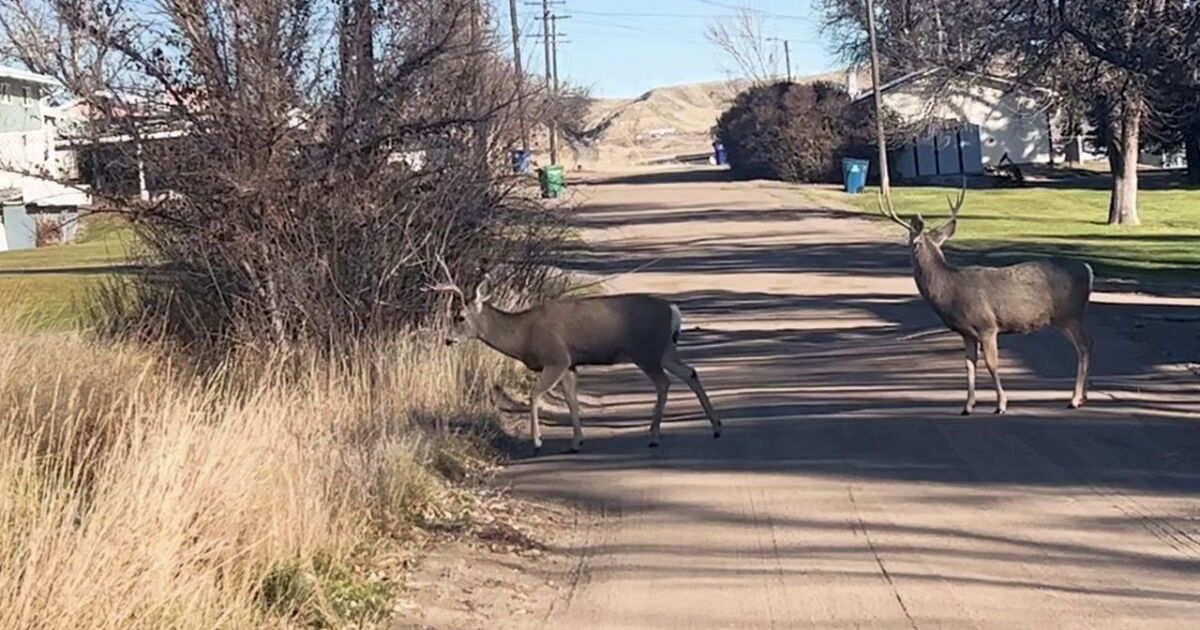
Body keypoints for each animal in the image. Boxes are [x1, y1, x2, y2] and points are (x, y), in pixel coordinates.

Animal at [428, 263, 722, 454]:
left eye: (460, 317)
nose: (448, 340)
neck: (524, 334)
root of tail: (673, 311)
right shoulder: (570, 364)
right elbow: (572, 400)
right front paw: (576, 442)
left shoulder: (556, 358)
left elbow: (535, 394)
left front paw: (538, 442)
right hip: (664, 350)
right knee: (690, 372)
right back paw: (716, 427)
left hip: (646, 352)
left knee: (664, 383)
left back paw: (654, 436)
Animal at [878, 186, 1094, 415]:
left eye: (909, 240)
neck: (949, 289)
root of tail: (1088, 270)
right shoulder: (966, 332)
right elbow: (969, 365)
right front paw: (968, 405)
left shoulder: (987, 326)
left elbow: (991, 364)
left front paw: (1001, 404)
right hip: (1065, 317)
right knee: (1085, 346)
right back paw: (1082, 397)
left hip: (1070, 315)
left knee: (1085, 345)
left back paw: (1075, 399)